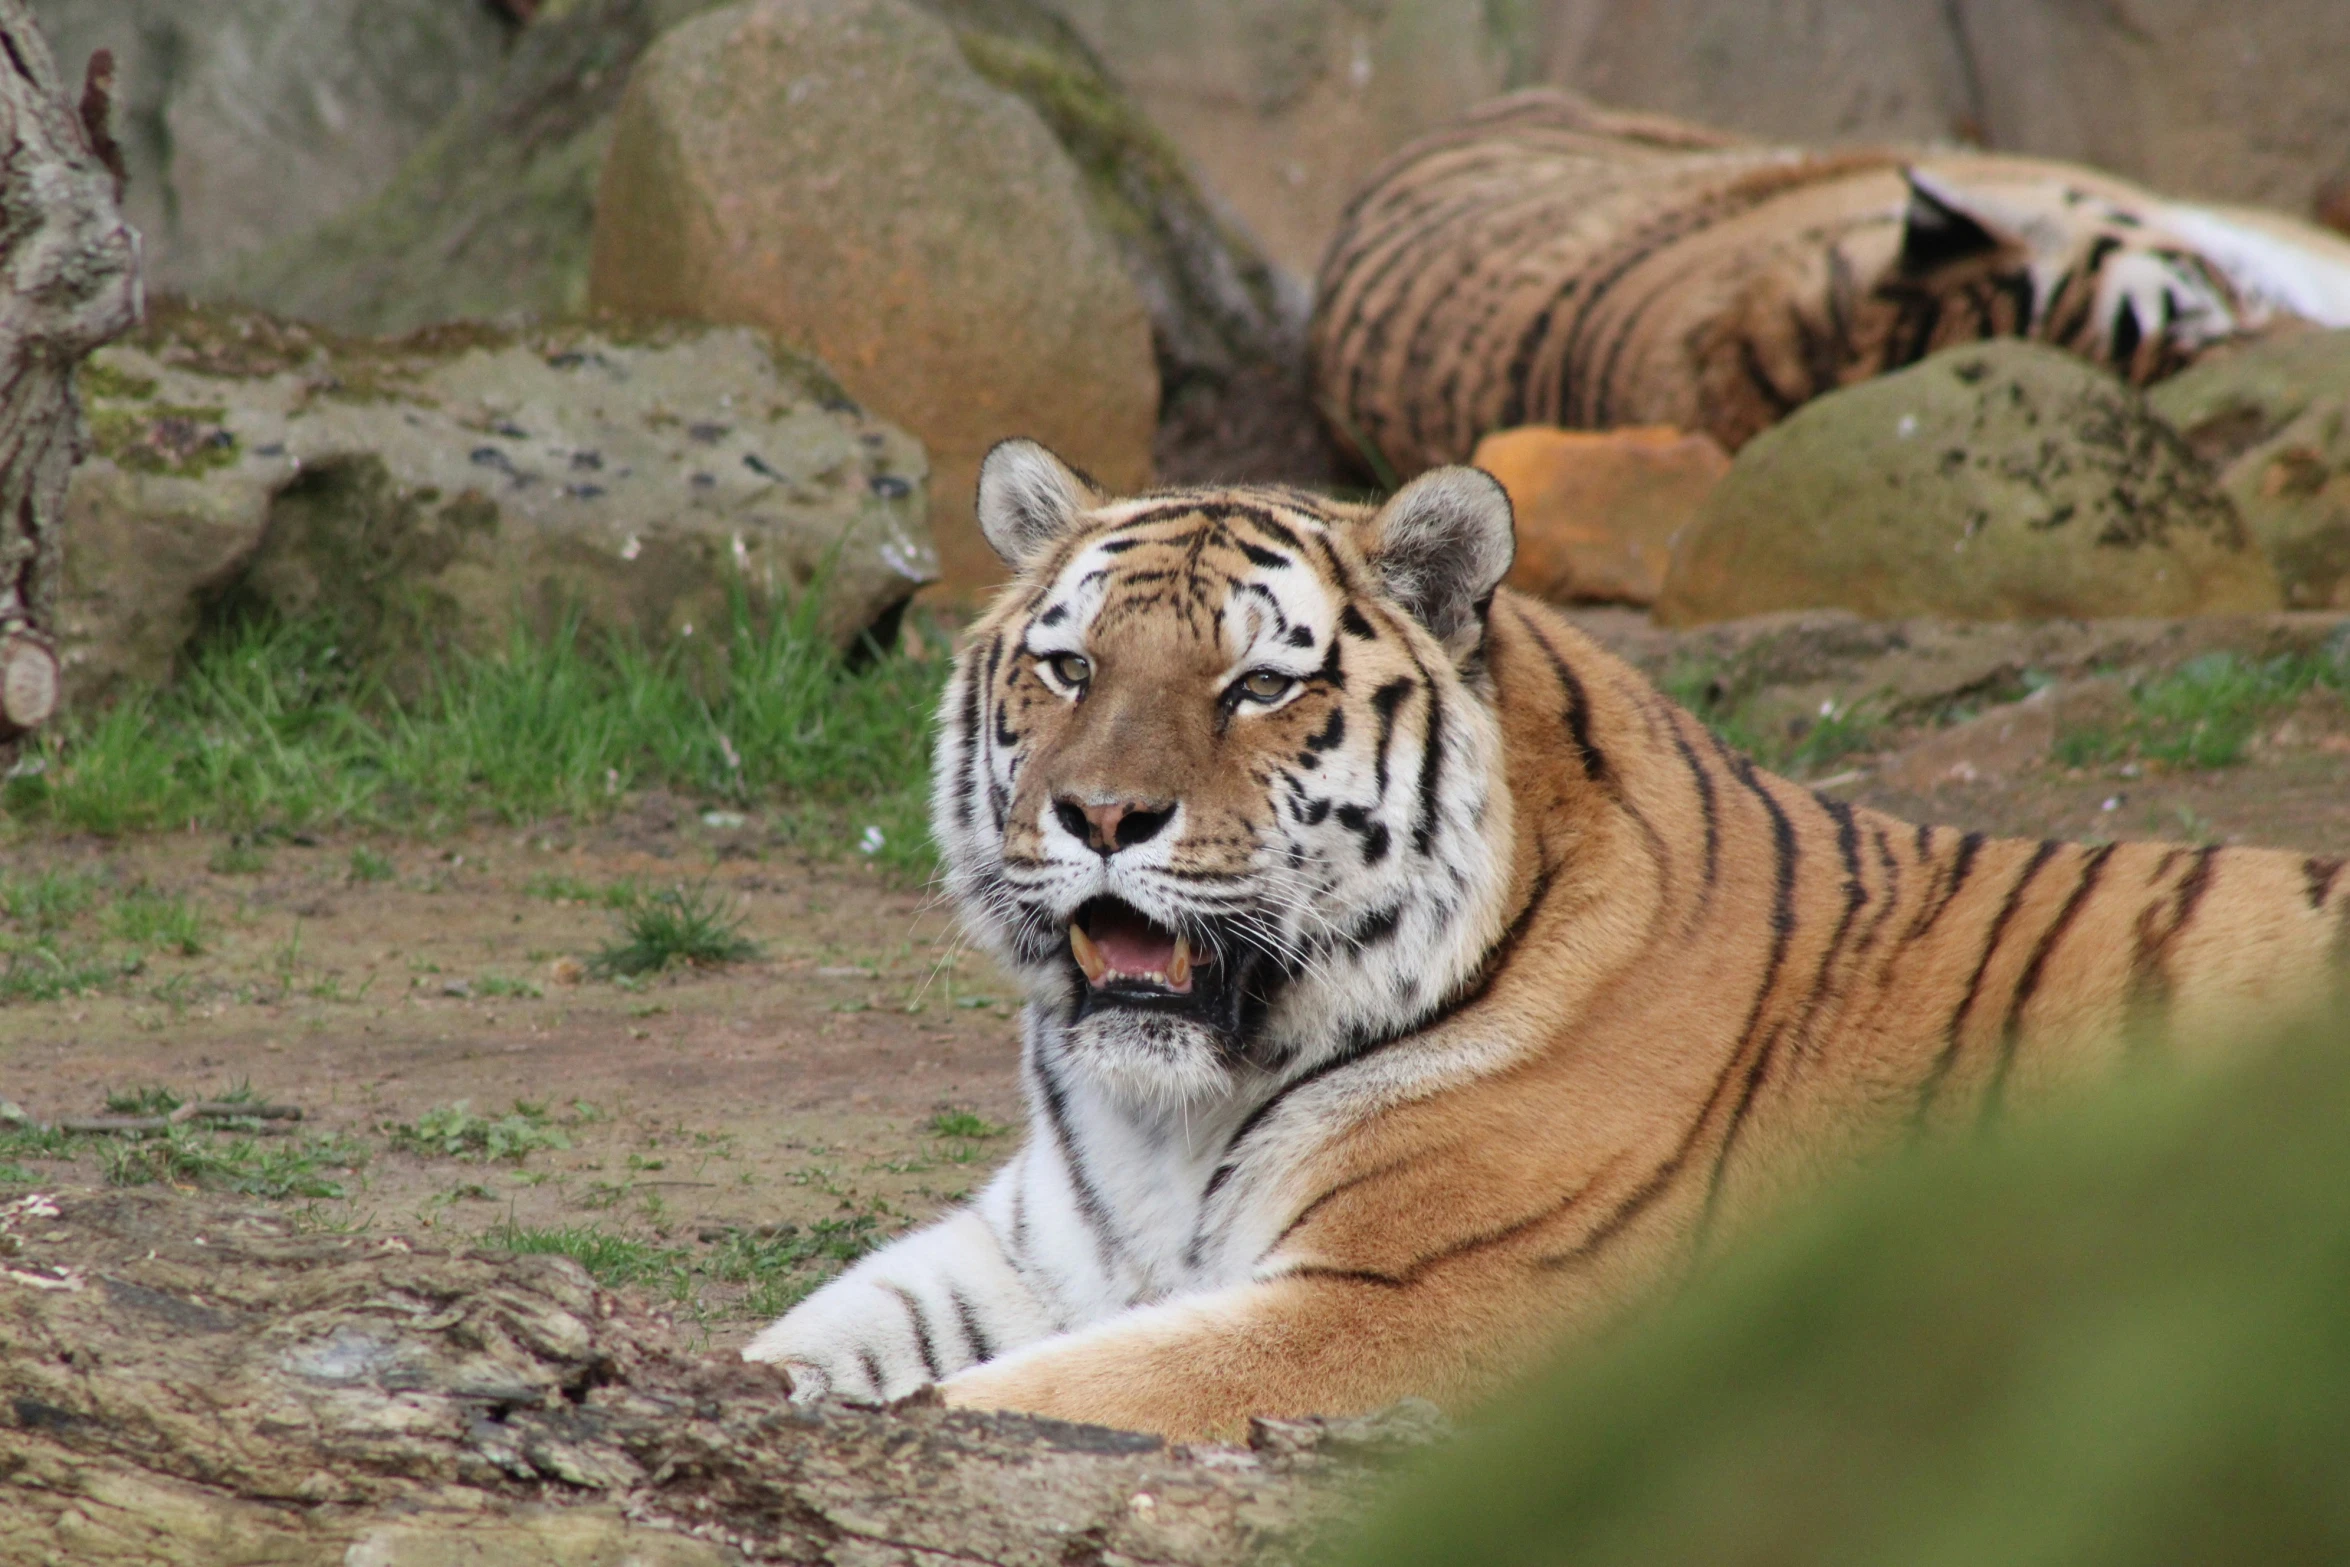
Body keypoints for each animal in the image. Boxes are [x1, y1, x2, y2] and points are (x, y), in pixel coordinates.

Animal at [747, 444, 2350, 1447]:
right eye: (1069, 665)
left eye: (1260, 684)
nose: (1099, 814)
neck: (1170, 1110)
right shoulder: (1027, 1248)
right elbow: (802, 1343)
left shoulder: (1398, 1310)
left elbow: (1016, 1398)